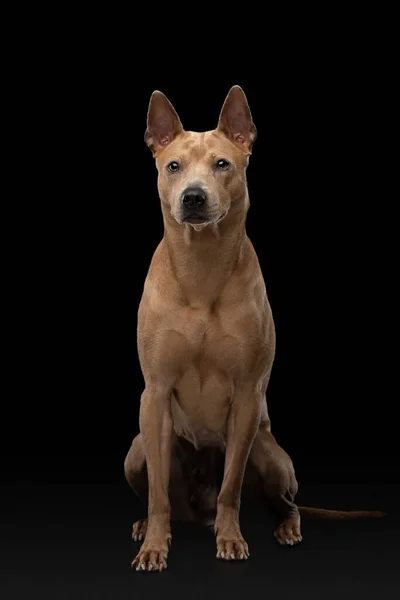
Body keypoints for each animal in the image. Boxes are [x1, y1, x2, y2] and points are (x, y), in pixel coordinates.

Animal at [124, 85, 384, 572]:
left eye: (222, 164)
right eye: (173, 166)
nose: (193, 197)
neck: (202, 267)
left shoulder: (247, 394)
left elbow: (231, 488)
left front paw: (230, 539)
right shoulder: (155, 393)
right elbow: (158, 495)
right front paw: (154, 546)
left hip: (269, 452)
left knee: (284, 501)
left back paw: (284, 528)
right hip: (137, 450)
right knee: (162, 493)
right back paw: (144, 526)